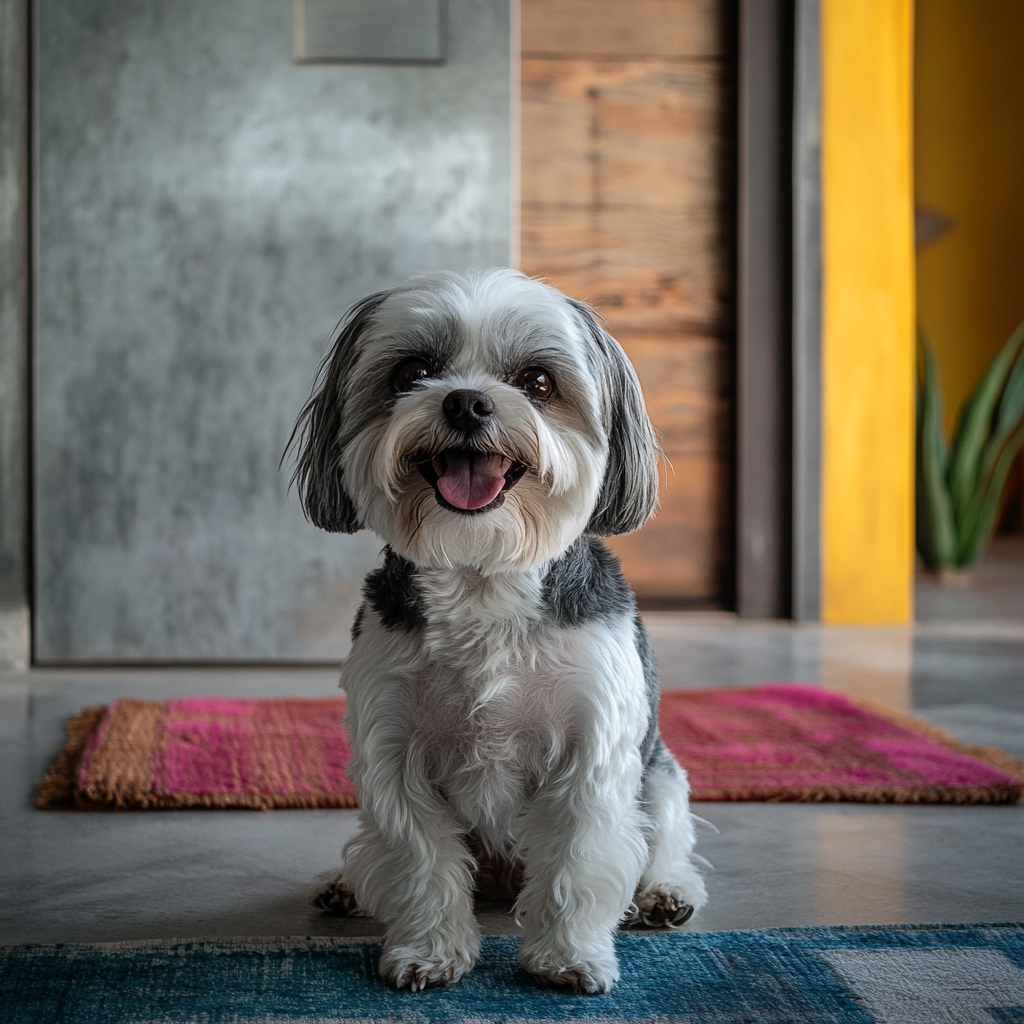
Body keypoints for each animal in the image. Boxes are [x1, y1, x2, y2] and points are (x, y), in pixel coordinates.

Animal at [288, 264, 704, 991]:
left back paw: (664, 892)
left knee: (665, 838)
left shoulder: (589, 751)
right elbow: (419, 859)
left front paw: (568, 956)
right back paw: (346, 885)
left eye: (537, 381)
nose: (467, 403)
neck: (483, 576)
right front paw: (428, 951)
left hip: (659, 774)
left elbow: (577, 859)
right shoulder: (394, 753)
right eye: (412, 371)